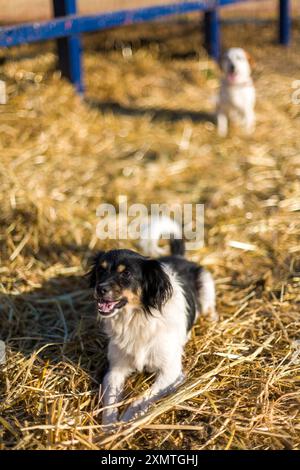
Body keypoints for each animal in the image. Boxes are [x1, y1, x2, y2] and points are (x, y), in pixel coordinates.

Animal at [88, 217, 217, 426]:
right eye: (101, 270)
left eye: (126, 274)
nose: (99, 289)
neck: (136, 319)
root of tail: (178, 257)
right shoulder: (115, 370)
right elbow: (110, 403)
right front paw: (109, 428)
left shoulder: (172, 372)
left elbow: (140, 399)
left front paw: (126, 421)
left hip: (206, 283)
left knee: (209, 306)